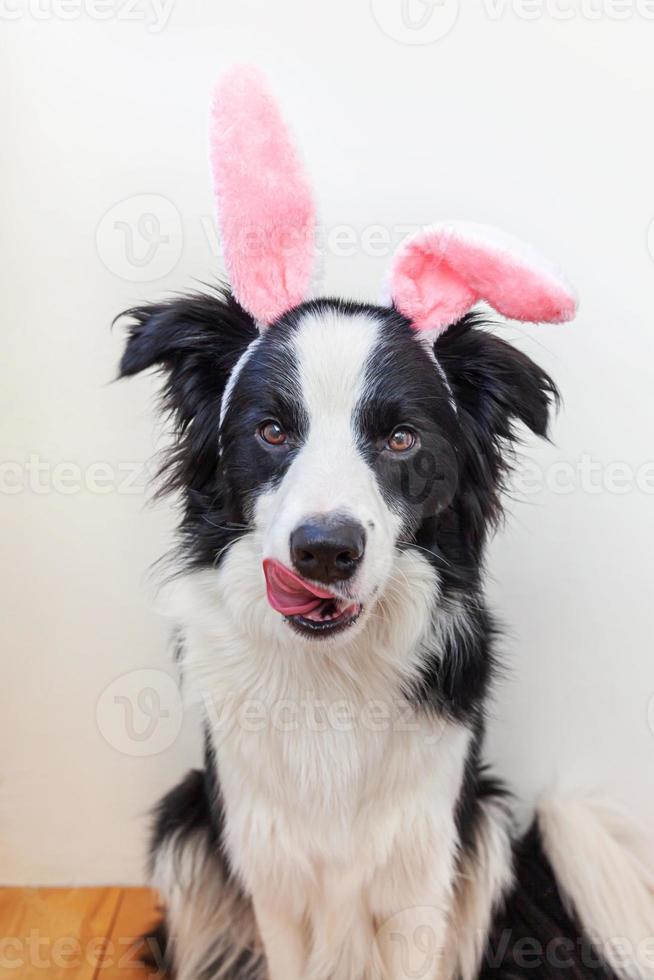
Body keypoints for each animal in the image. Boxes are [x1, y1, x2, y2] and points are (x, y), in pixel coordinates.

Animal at [118, 69, 654, 980]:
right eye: (272, 430)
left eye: (401, 438)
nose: (326, 551)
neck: (331, 679)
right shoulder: (272, 877)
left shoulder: (420, 877)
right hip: (187, 822)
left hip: (487, 828)